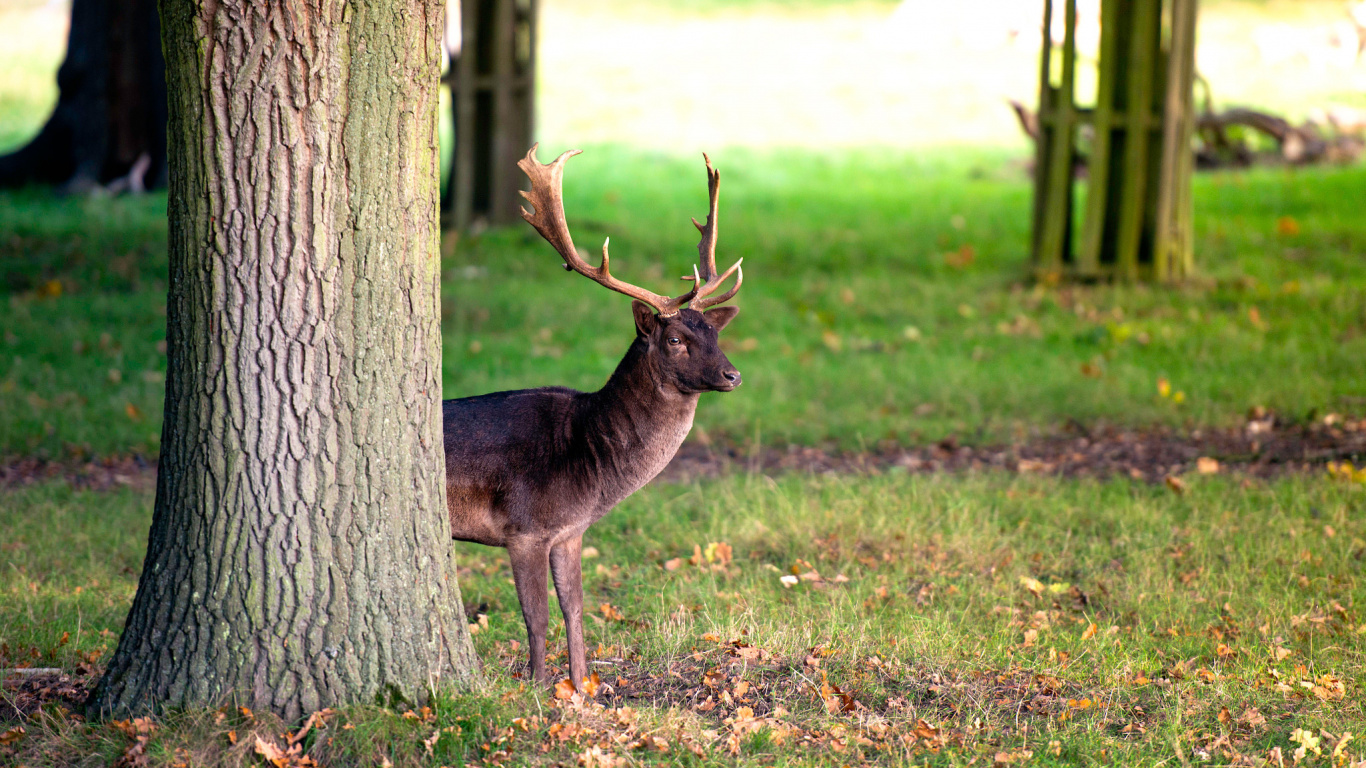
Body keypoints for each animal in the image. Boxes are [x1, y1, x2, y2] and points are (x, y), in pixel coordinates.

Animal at [442, 145, 744, 693]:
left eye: (715, 332)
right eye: (675, 339)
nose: (732, 375)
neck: (589, 460)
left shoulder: (570, 531)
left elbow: (575, 609)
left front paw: (582, 689)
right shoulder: (524, 527)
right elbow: (536, 616)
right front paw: (538, 690)